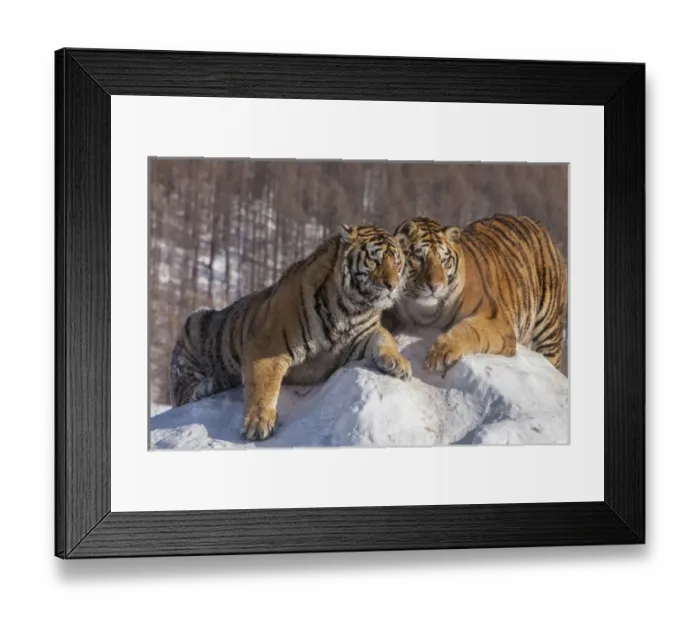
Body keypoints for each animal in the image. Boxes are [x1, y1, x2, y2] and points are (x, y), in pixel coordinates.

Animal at [169, 224, 412, 442]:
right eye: (374, 260)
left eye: (396, 262)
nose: (392, 285)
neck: (351, 309)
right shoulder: (267, 345)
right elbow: (263, 386)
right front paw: (258, 423)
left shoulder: (365, 334)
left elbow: (386, 339)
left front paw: (399, 364)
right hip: (194, 323)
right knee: (183, 390)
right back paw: (210, 385)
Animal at [382, 214, 567, 373]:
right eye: (419, 258)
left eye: (444, 260)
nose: (435, 286)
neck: (424, 312)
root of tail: (536, 223)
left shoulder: (495, 320)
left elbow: (469, 331)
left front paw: (439, 354)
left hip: (548, 330)